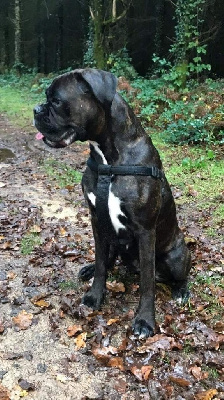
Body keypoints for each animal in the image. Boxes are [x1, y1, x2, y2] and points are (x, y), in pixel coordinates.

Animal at [34, 69, 192, 338]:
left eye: (56, 101)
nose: (36, 109)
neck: (108, 160)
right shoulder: (96, 219)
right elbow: (100, 264)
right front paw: (95, 295)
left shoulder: (145, 231)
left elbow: (147, 284)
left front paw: (144, 321)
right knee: (107, 260)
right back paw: (89, 269)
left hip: (177, 256)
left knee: (177, 275)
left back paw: (181, 291)